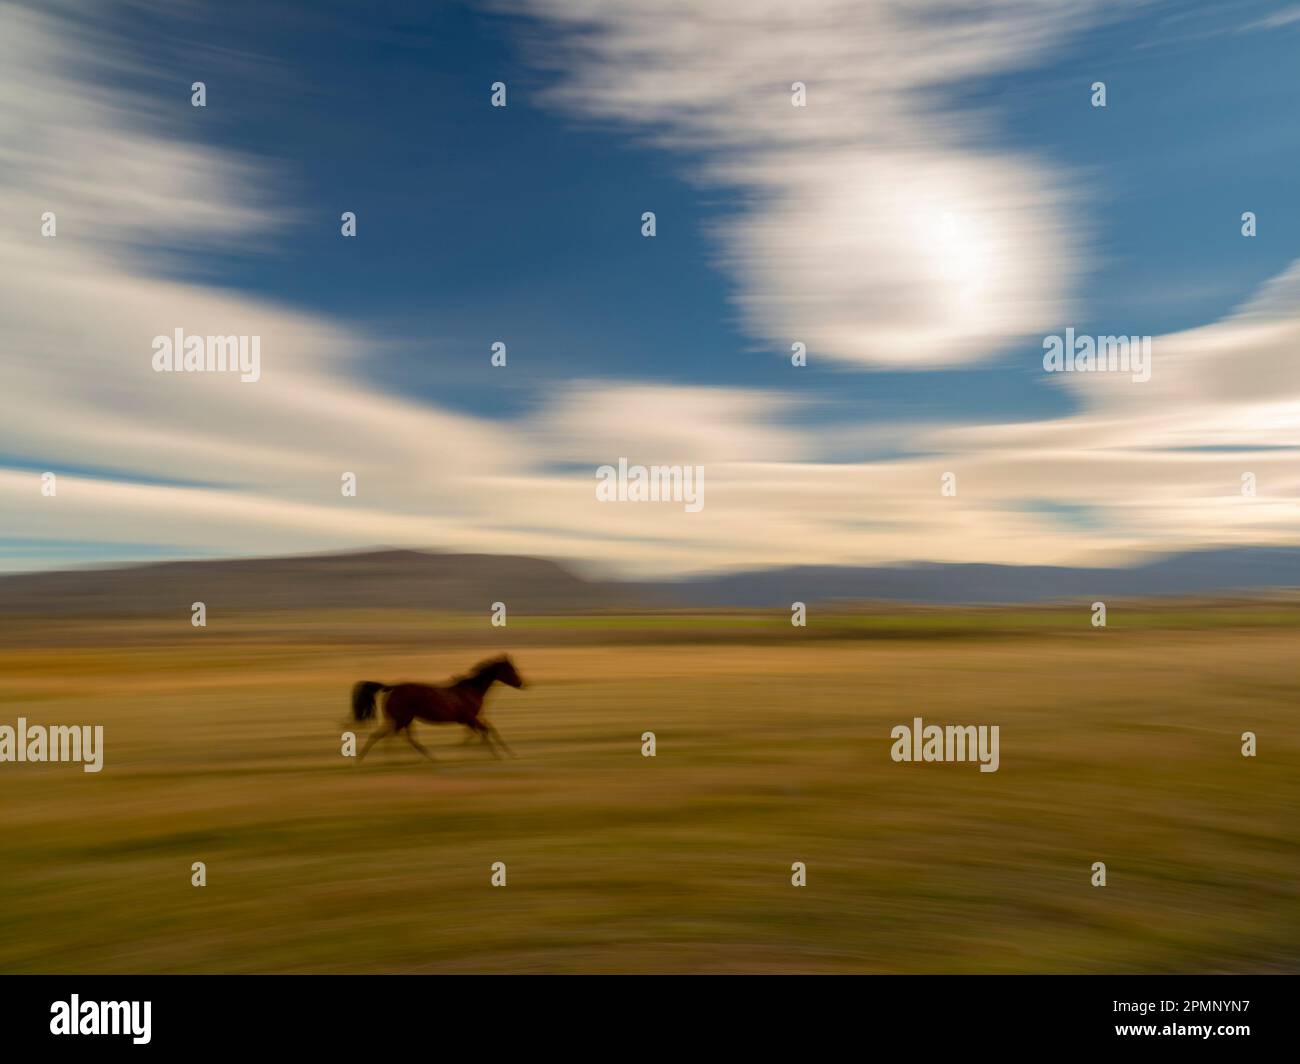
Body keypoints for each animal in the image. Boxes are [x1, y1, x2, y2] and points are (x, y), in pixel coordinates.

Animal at [353, 650, 525, 759]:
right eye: (511, 670)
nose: (522, 683)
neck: (471, 690)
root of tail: (392, 688)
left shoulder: (469, 720)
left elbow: (484, 731)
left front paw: (508, 753)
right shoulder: (470, 718)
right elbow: (485, 731)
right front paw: (497, 754)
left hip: (402, 719)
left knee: (389, 736)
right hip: (402, 719)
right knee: (392, 736)